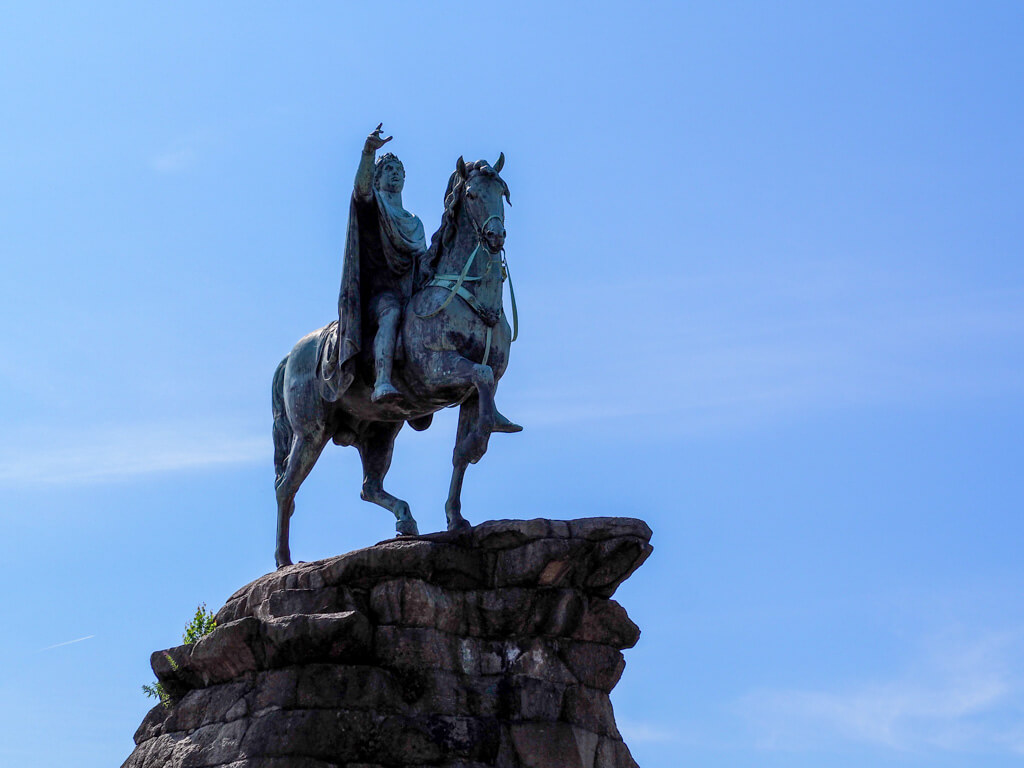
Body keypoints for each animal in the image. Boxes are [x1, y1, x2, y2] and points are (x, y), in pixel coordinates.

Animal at [268, 153, 516, 569]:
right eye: (470, 194)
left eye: (501, 191)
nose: (495, 237)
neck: (470, 298)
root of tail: (291, 355)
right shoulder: (438, 371)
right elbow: (479, 376)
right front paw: (480, 444)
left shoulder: (472, 395)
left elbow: (462, 447)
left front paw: (456, 517)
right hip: (310, 432)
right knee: (286, 486)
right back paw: (284, 559)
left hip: (380, 431)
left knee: (369, 487)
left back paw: (405, 518)